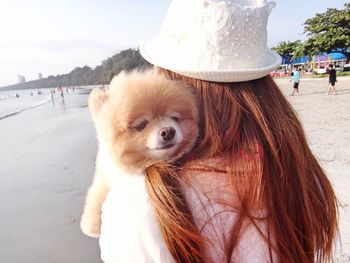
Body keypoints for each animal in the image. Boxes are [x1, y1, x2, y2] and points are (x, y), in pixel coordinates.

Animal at [80, 69, 198, 238]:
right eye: (142, 124)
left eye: (175, 118)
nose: (168, 131)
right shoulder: (106, 173)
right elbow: (97, 193)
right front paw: (91, 225)